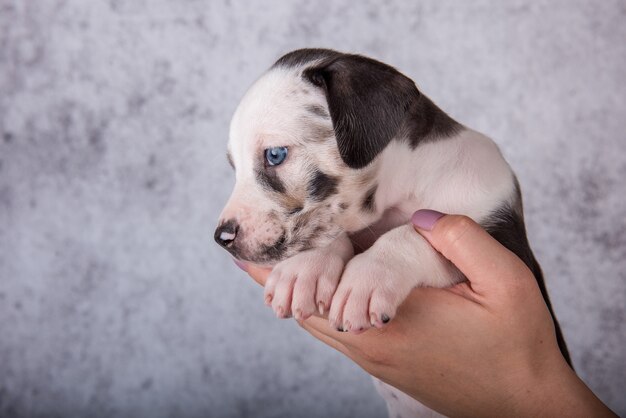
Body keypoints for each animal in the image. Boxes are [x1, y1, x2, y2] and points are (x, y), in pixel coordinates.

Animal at [216, 49, 572, 418]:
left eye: (275, 155)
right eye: (235, 167)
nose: (222, 237)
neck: (409, 187)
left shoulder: (508, 249)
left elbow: (415, 232)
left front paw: (369, 275)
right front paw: (307, 267)